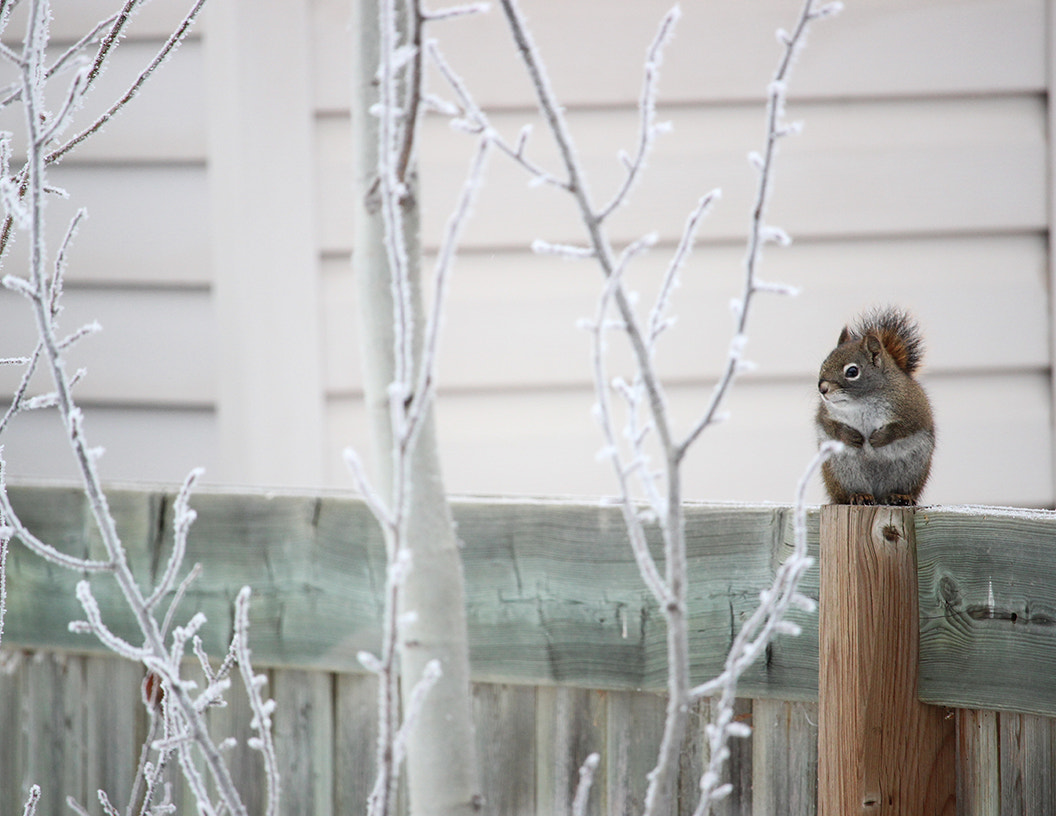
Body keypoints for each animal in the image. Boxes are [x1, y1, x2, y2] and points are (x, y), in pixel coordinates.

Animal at [815, 307, 935, 506]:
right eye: (824, 364)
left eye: (852, 371)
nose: (822, 389)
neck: (862, 401)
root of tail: (878, 496)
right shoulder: (824, 413)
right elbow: (829, 426)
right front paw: (850, 436)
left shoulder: (914, 410)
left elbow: (905, 427)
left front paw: (879, 438)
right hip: (841, 472)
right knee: (846, 494)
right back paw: (858, 496)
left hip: (911, 471)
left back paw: (900, 496)